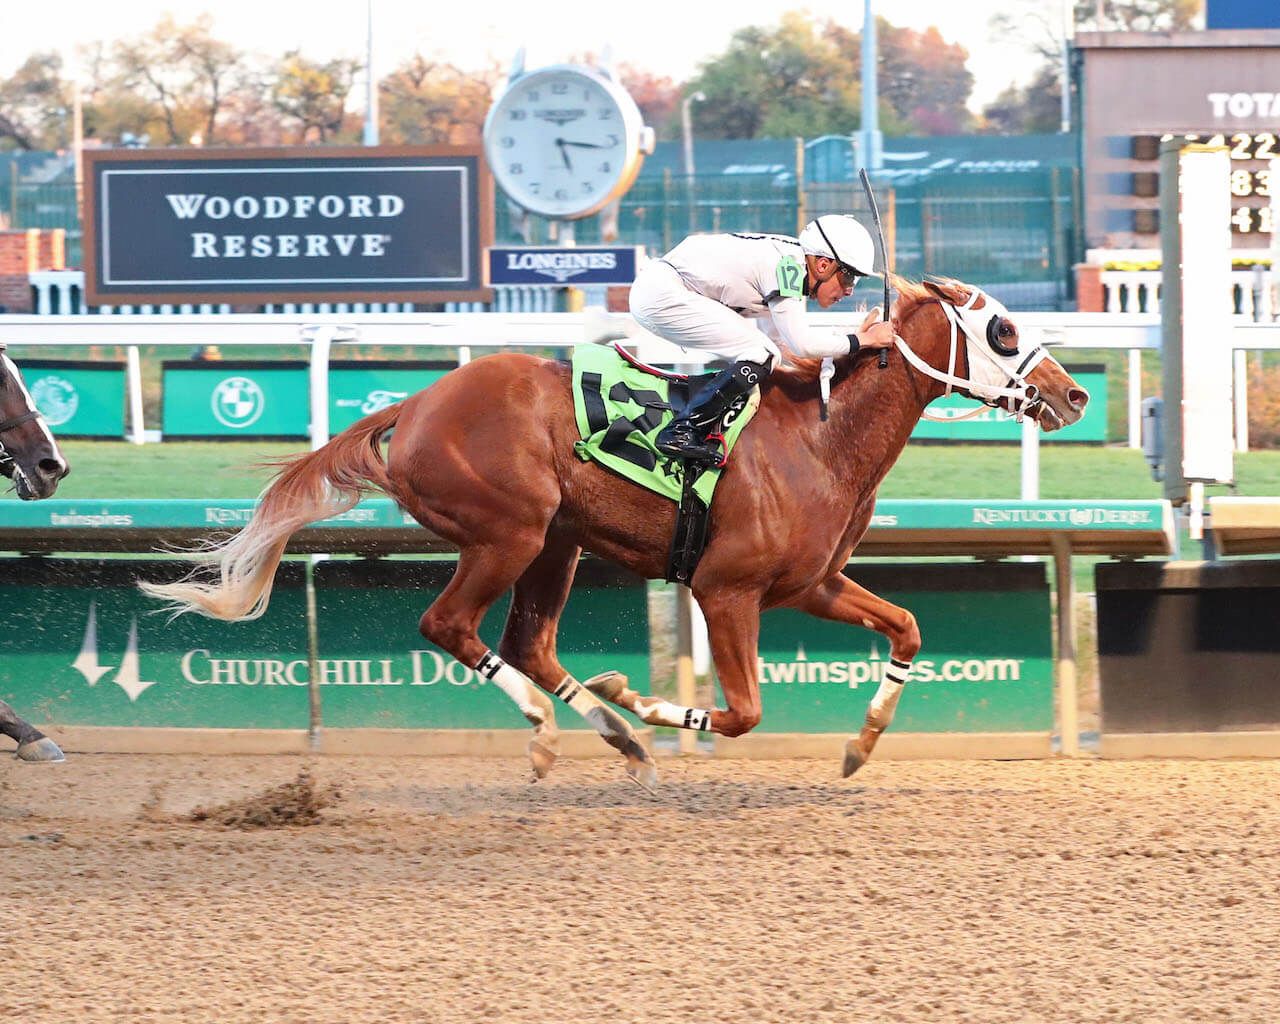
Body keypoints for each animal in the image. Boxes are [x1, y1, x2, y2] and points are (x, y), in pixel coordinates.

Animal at [147, 276, 1090, 788]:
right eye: (1004, 328)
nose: (1074, 394)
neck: (821, 437)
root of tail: (412, 406)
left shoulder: (810, 584)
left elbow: (909, 628)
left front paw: (860, 746)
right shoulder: (725, 588)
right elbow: (743, 712)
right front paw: (645, 697)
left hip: (556, 542)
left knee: (528, 642)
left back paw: (617, 737)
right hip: (508, 533)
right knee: (451, 626)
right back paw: (555, 727)